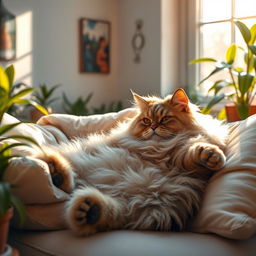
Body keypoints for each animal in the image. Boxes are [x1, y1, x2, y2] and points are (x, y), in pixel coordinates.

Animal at [35, 88, 227, 236]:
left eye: (165, 119)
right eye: (146, 121)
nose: (153, 127)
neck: (157, 148)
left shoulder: (183, 159)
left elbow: (195, 152)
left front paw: (211, 156)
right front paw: (211, 156)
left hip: (139, 206)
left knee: (107, 212)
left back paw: (86, 209)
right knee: (70, 182)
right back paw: (55, 172)